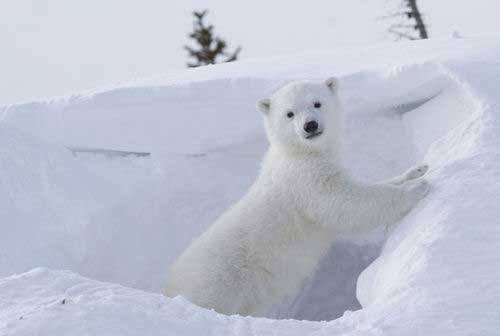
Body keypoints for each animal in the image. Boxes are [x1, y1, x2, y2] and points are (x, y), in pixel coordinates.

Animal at [164, 77, 430, 316]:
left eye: (317, 103)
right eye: (289, 114)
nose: (310, 125)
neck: (299, 153)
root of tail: (170, 287)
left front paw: (416, 170)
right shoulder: (305, 181)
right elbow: (345, 202)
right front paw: (418, 188)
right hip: (217, 283)